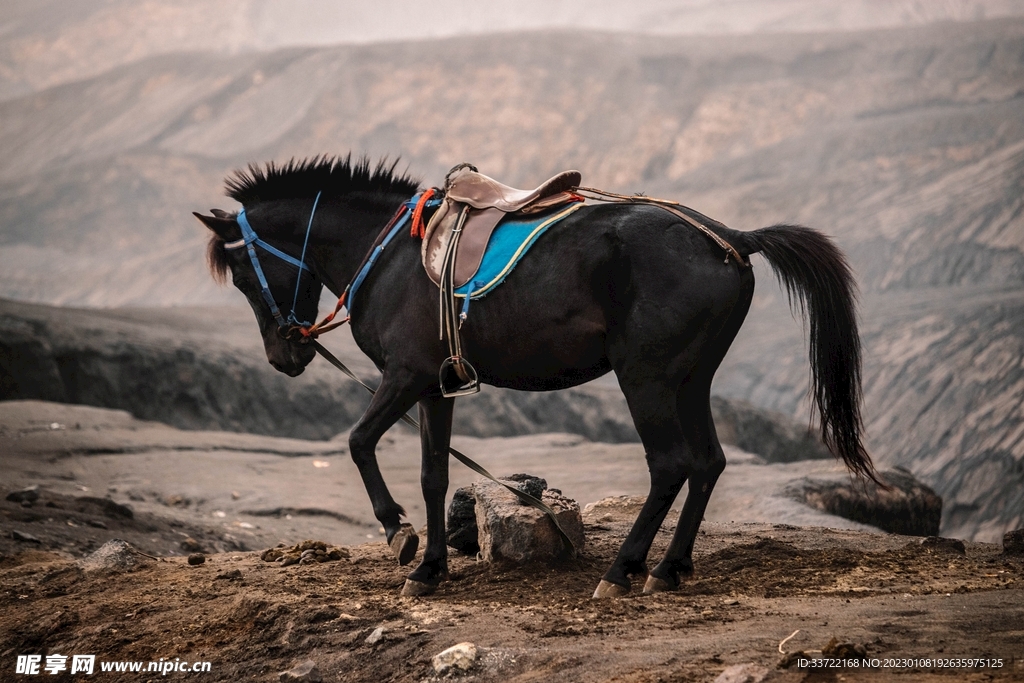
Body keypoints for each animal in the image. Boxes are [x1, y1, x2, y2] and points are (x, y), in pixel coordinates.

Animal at [193, 155, 876, 598]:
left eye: (244, 274)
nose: (284, 357)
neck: (388, 253)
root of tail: (729, 237)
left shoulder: (405, 376)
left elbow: (360, 443)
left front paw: (398, 536)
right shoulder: (435, 386)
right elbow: (434, 476)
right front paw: (430, 570)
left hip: (647, 378)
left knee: (672, 465)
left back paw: (622, 572)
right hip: (692, 379)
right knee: (708, 462)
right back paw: (670, 569)